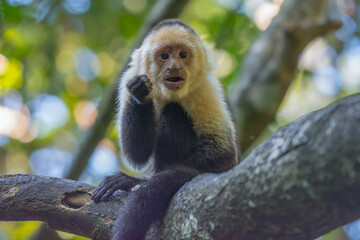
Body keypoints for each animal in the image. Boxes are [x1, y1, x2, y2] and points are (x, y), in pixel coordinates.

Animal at [91, 20, 240, 240]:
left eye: (183, 54)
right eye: (164, 56)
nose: (174, 66)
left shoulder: (206, 89)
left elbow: (223, 154)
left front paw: (130, 182)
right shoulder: (128, 78)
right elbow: (136, 153)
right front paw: (140, 93)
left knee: (173, 111)